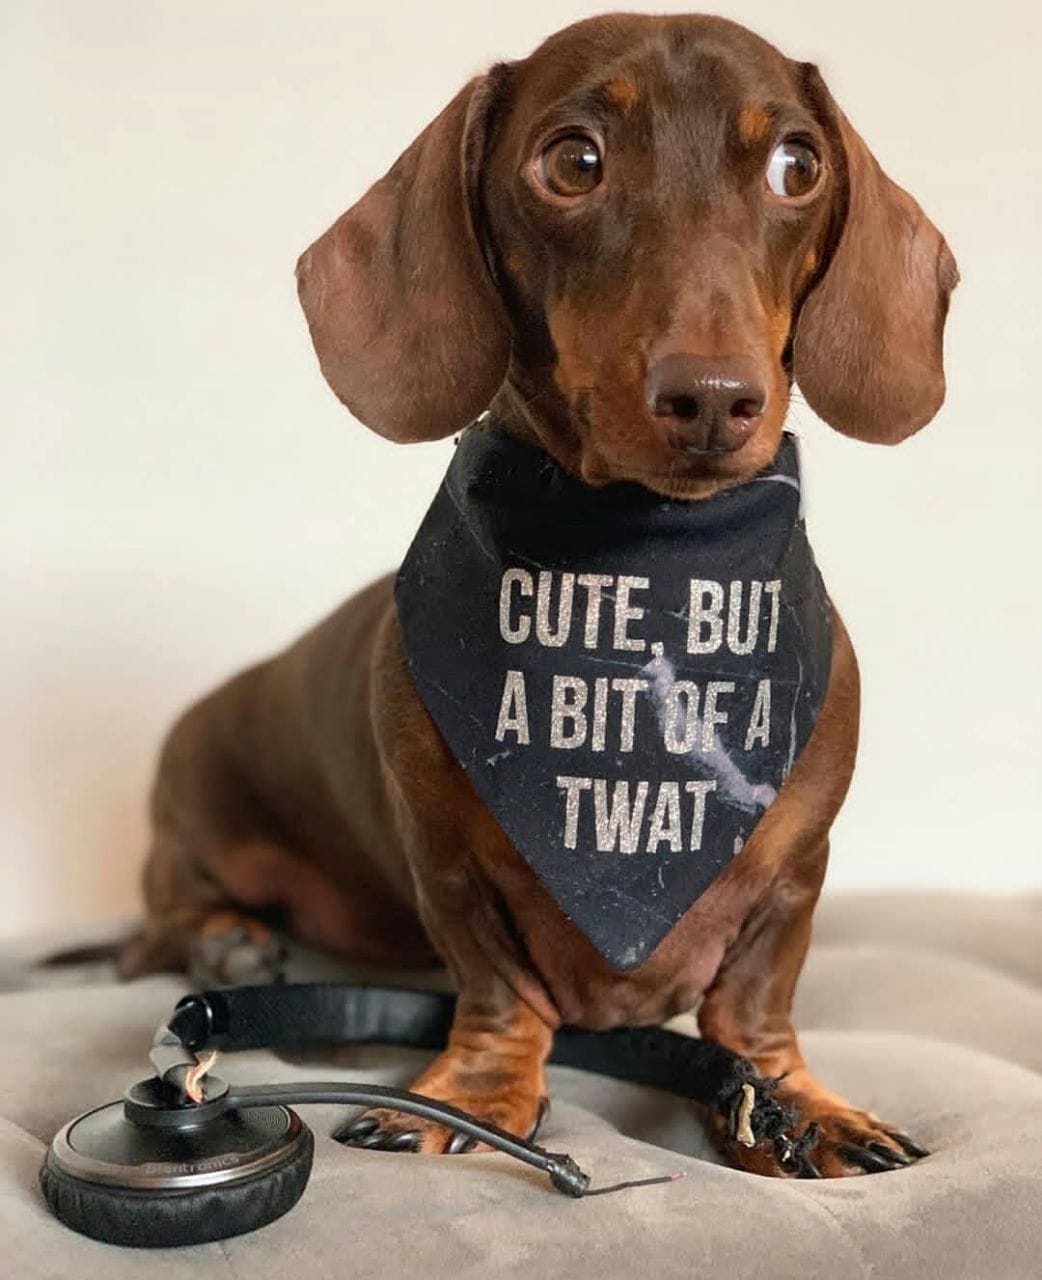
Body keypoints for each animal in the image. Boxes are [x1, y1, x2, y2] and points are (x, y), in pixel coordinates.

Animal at [120, 13, 957, 1178]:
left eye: (798, 166)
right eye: (573, 163)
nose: (711, 398)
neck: (640, 573)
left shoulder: (796, 874)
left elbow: (754, 1008)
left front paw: (797, 1104)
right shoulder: (449, 868)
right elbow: (499, 988)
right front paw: (465, 1098)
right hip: (186, 832)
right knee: (150, 930)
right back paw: (226, 940)